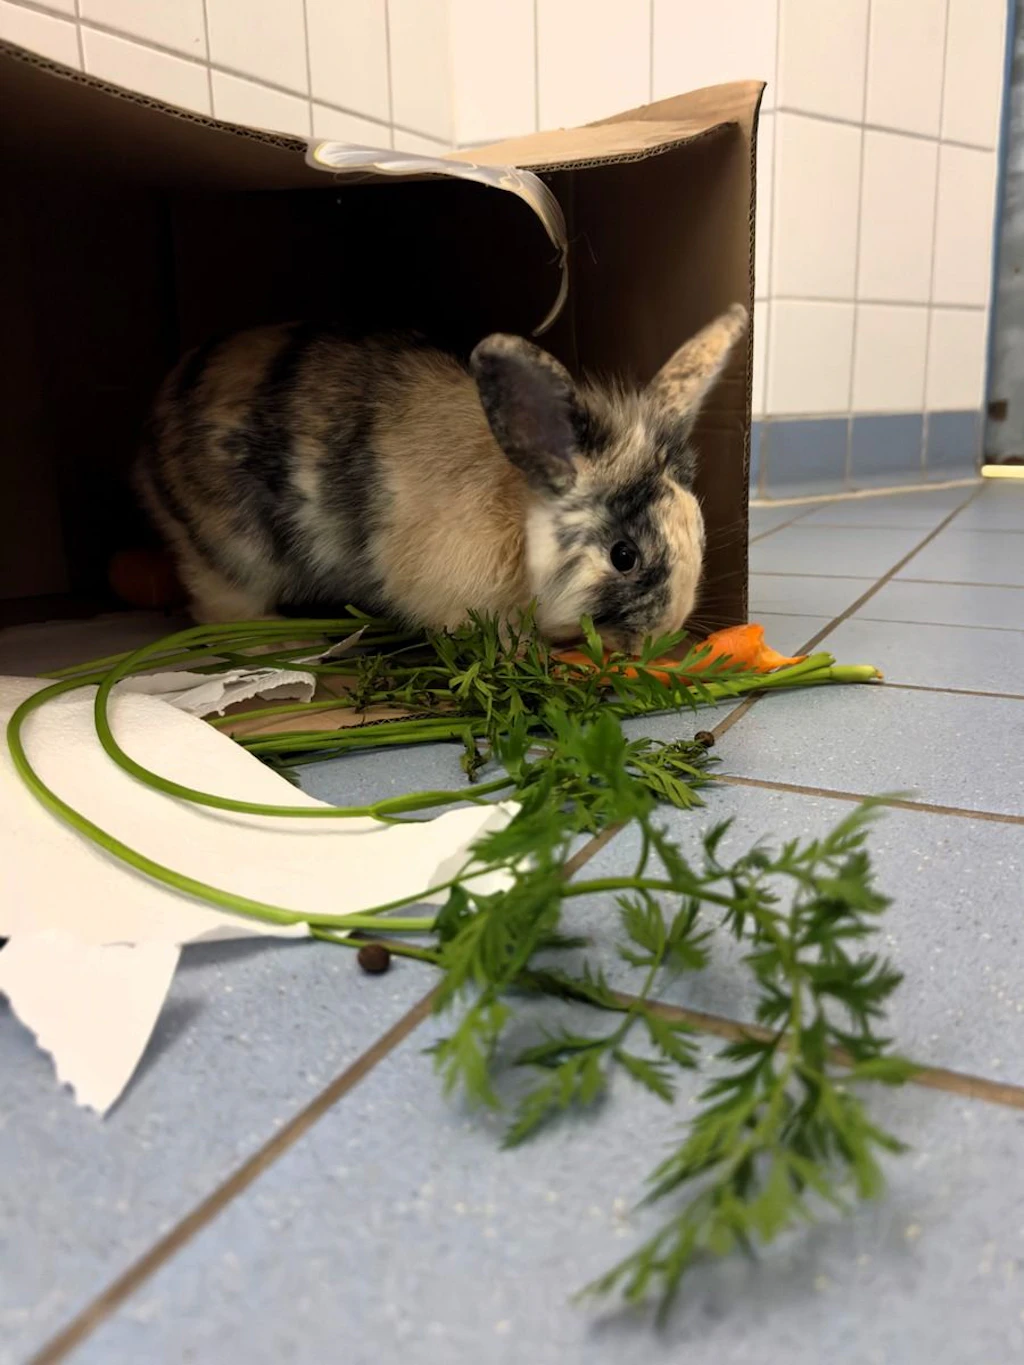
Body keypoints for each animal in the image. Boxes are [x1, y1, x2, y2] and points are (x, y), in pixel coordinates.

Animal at [135, 305, 747, 652]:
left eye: (699, 531)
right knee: (220, 609)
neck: (515, 515)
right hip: (230, 556)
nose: (665, 630)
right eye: (624, 556)